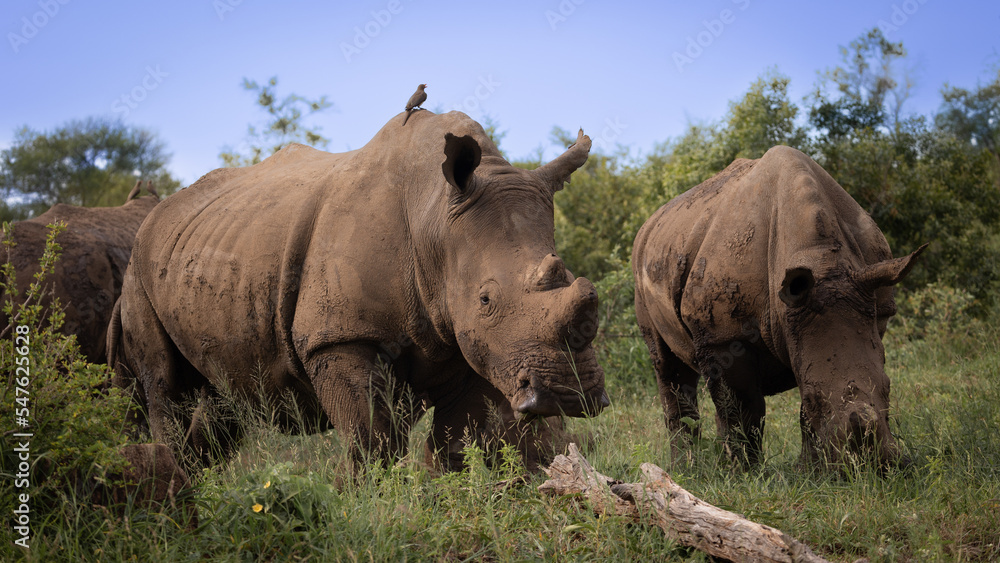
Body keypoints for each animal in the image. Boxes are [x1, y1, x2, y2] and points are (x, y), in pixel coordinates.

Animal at [109, 110, 608, 472]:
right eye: (486, 300)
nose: (569, 395)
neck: (433, 218)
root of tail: (155, 215)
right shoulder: (339, 336)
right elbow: (372, 441)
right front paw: (368, 505)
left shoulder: (475, 342)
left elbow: (456, 443)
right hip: (137, 273)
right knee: (167, 388)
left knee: (224, 399)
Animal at [636, 145, 924, 468]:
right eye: (813, 399)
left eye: (889, 388)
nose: (873, 467)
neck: (824, 260)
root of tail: (651, 221)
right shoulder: (723, 333)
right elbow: (743, 407)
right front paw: (745, 472)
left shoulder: (873, 307)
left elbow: (801, 402)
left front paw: (811, 470)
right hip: (642, 261)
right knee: (667, 367)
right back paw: (688, 467)